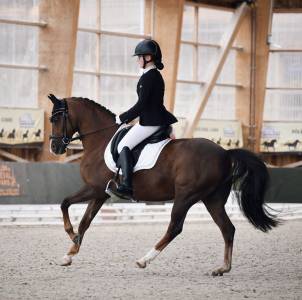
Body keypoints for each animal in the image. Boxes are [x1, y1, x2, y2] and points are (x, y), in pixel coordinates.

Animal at [47, 95, 278, 276]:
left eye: (56, 118)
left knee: (175, 227)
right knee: (227, 229)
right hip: (212, 199)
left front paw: (72, 236)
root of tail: (225, 153)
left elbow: (65, 203)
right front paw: (69, 254)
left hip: (186, 196)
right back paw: (222, 268)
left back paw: (144, 260)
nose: (54, 147)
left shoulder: (95, 189)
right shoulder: (100, 194)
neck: (100, 139)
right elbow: (84, 221)